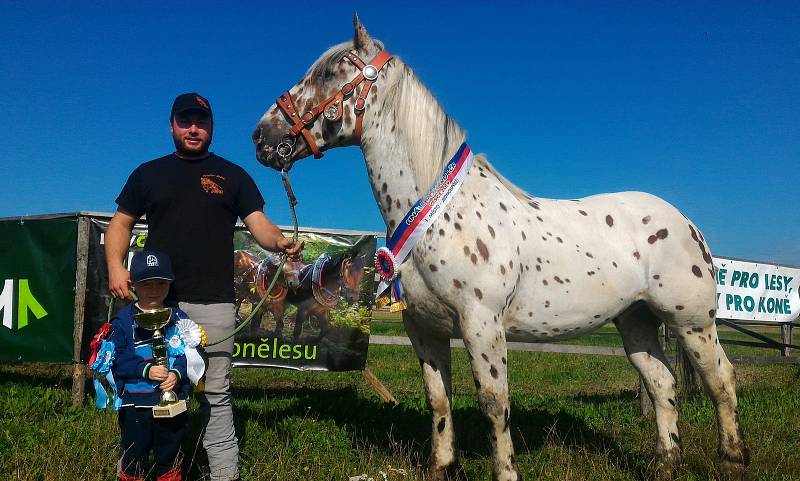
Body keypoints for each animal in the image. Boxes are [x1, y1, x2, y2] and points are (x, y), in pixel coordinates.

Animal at [252, 17, 752, 480]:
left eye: (329, 71)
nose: (262, 136)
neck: (441, 214)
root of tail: (686, 222)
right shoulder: (424, 329)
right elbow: (439, 400)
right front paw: (443, 466)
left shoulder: (481, 325)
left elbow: (494, 403)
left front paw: (505, 471)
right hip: (637, 322)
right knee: (663, 383)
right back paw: (667, 462)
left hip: (691, 322)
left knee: (721, 380)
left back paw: (732, 458)